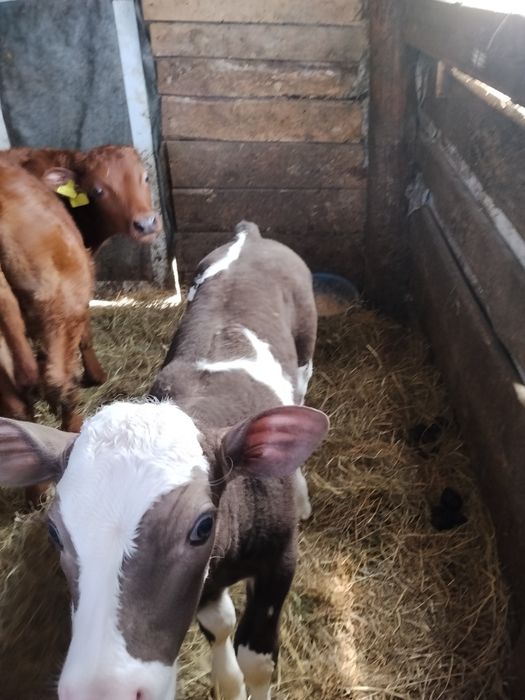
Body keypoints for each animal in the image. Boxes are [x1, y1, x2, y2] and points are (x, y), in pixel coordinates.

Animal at [0, 221, 328, 700]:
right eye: (55, 533)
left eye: (202, 527)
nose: (105, 691)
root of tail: (249, 234)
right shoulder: (207, 583)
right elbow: (220, 625)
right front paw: (227, 683)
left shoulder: (280, 558)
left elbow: (258, 658)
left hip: (305, 354)